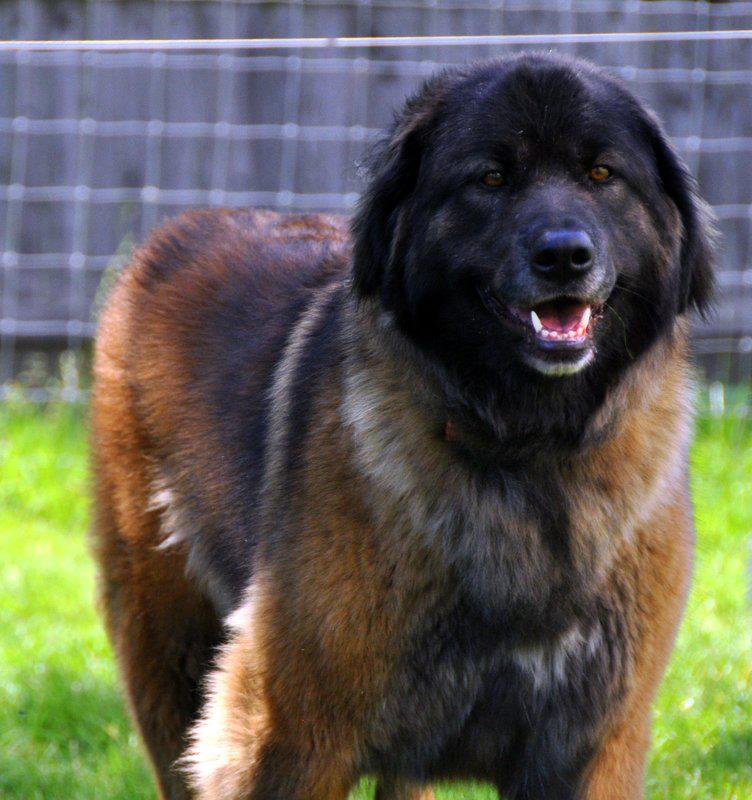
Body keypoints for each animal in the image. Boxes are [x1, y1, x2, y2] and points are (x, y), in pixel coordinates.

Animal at [91, 53, 712, 796]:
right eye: (491, 178)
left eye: (601, 174)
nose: (564, 255)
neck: (525, 452)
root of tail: (170, 238)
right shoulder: (290, 738)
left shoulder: (591, 747)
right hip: (168, 654)